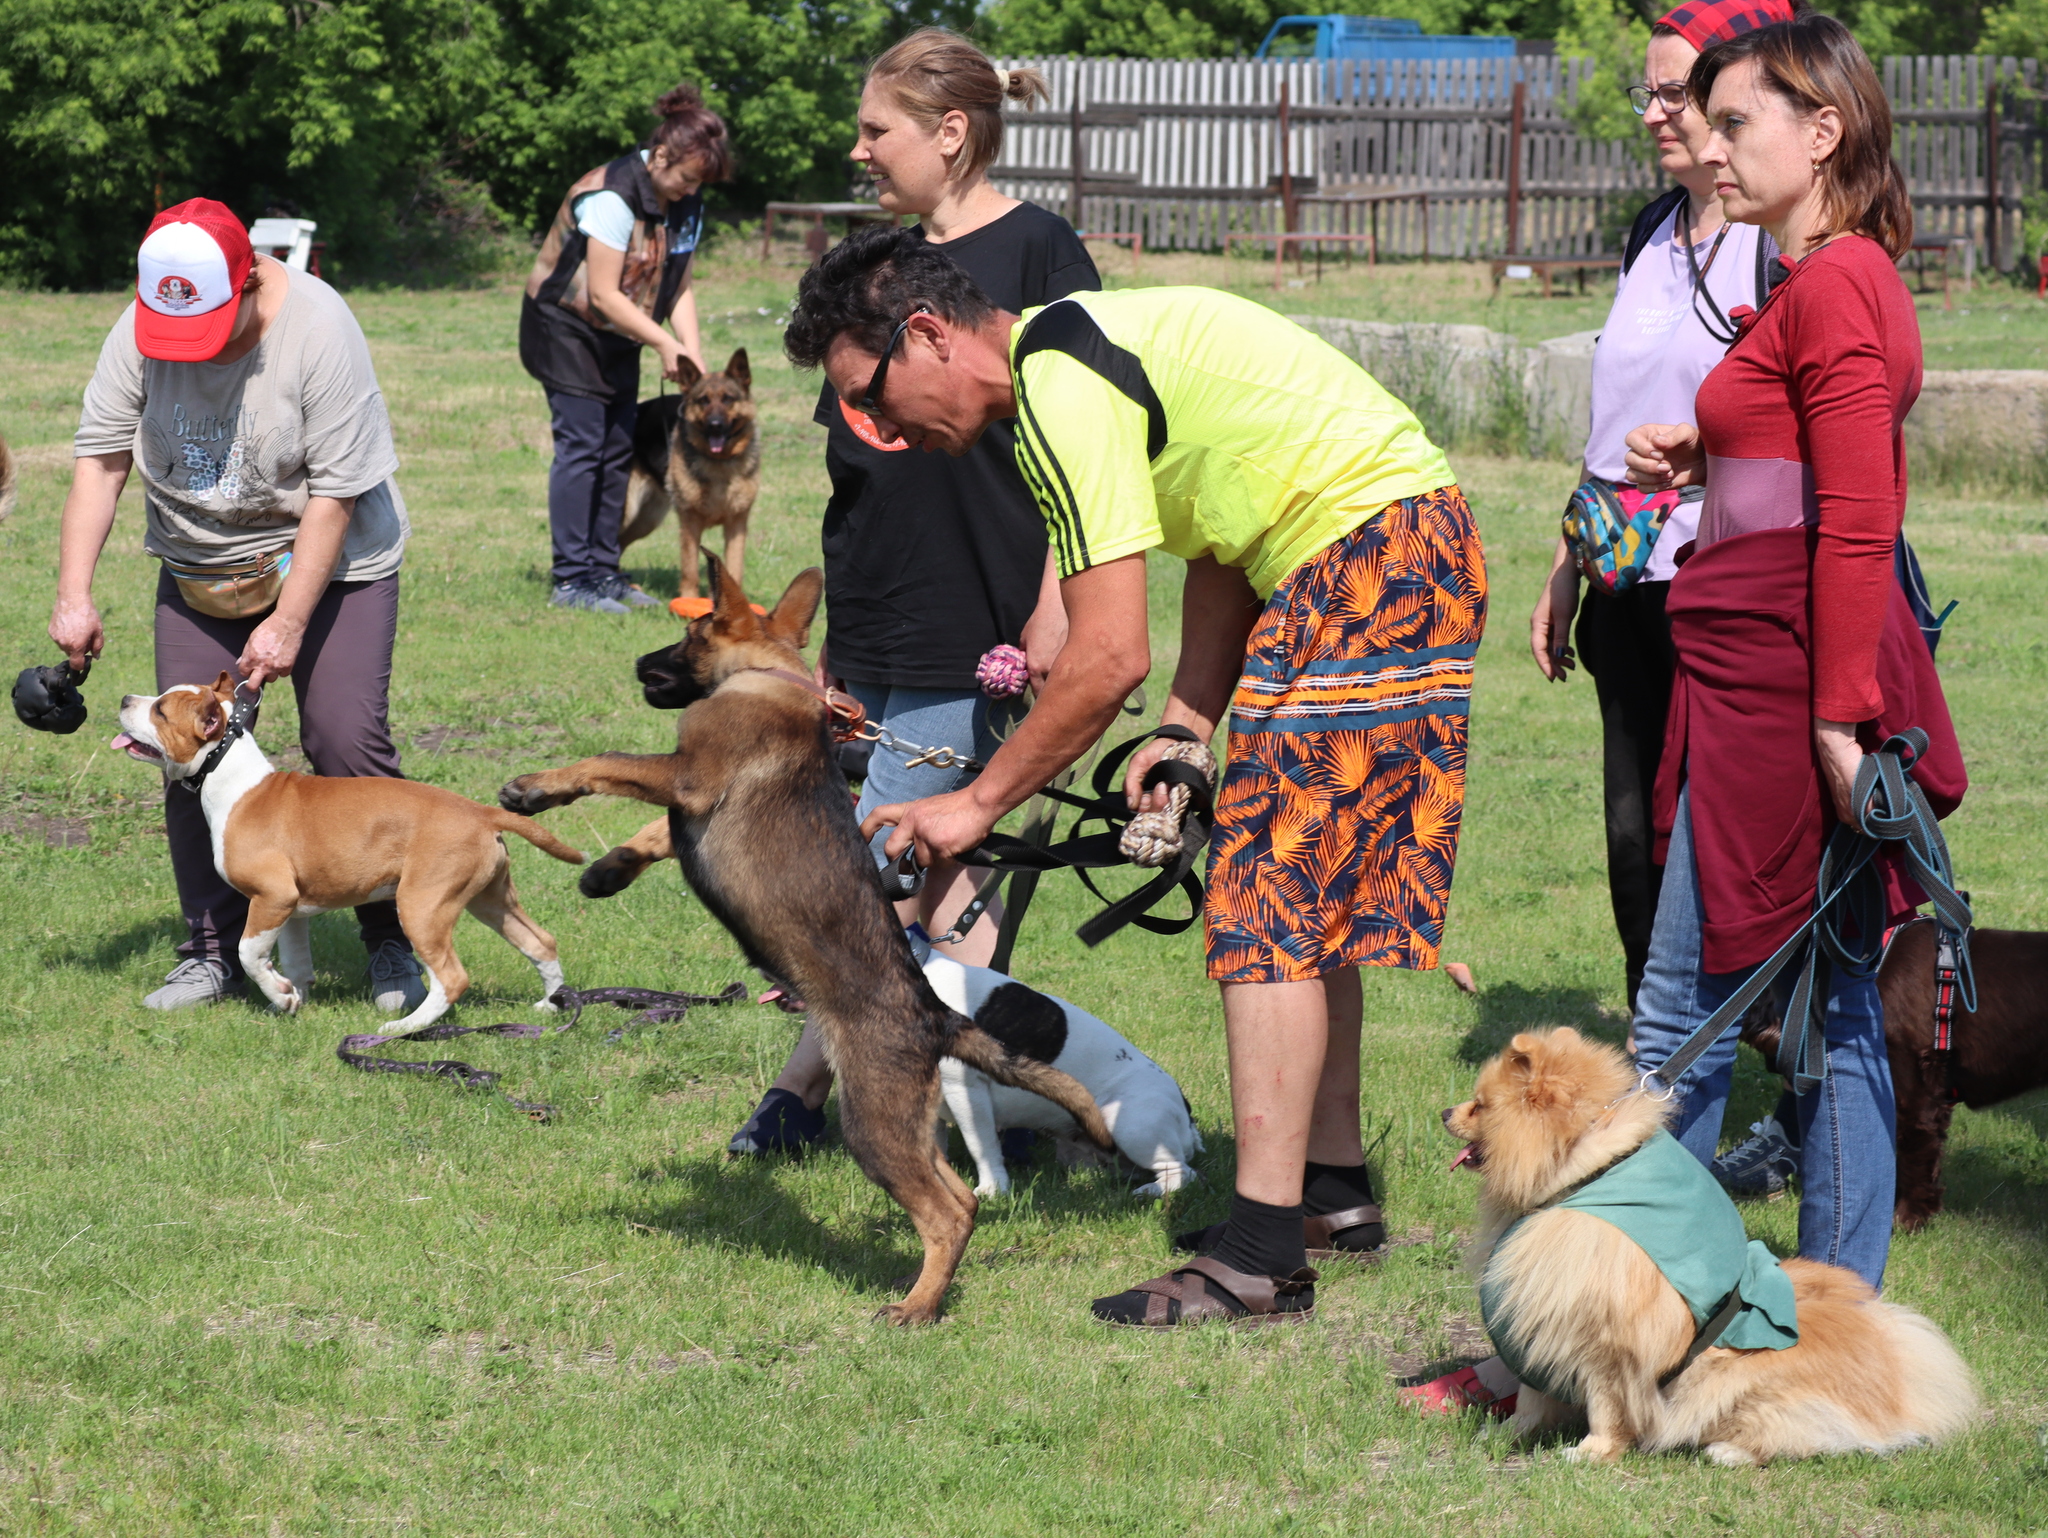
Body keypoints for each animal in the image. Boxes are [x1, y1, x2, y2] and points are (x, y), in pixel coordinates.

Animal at [913, 925, 1196, 1204]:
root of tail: (1187, 1117)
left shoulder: (966, 1090)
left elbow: (980, 1144)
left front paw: (993, 1189)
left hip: (1129, 1122)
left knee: (1182, 1171)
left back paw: (1152, 1191)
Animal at [1449, 1028, 1974, 1458]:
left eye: (1480, 1105)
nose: (1444, 1111)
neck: (1589, 1168)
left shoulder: (1602, 1329)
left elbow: (1605, 1400)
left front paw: (1593, 1451)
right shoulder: (1543, 1309)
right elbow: (1532, 1395)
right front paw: (1508, 1432)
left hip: (1732, 1374)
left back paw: (1728, 1451)